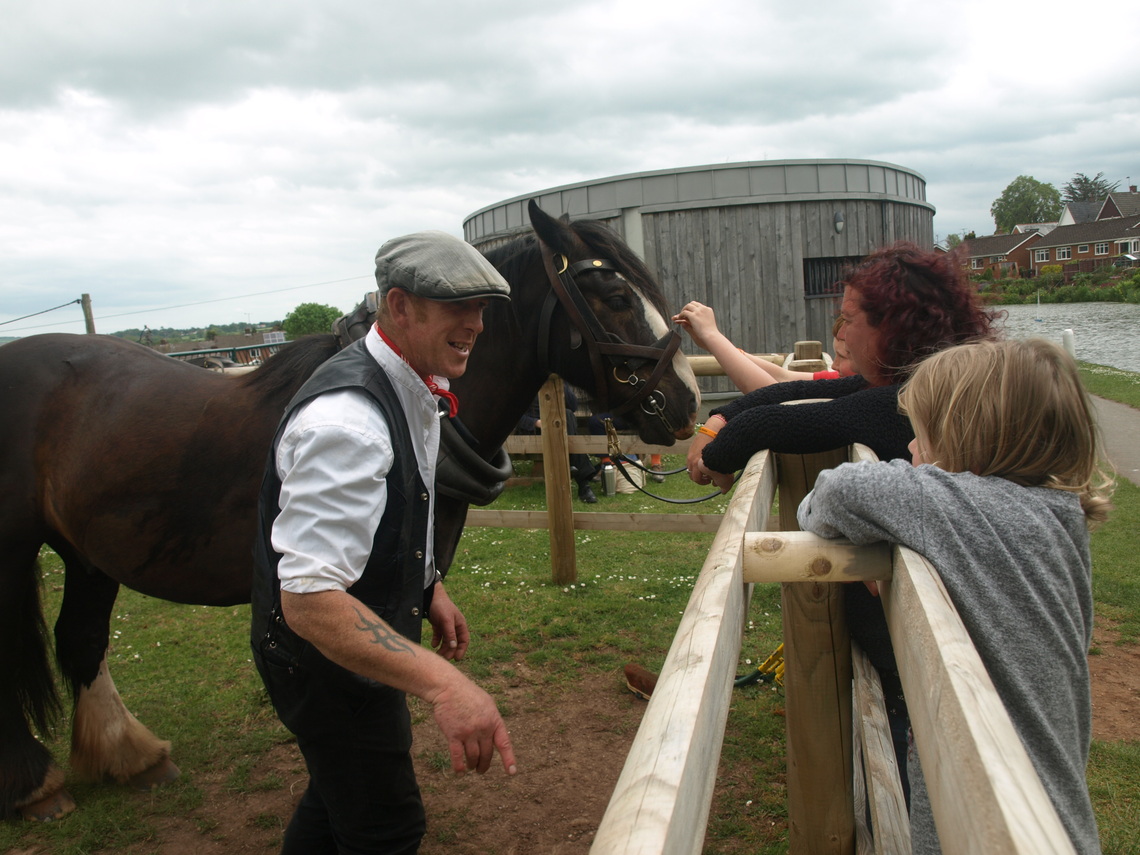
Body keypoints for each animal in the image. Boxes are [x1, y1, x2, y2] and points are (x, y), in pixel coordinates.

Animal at [0, 199, 700, 820]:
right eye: (616, 297)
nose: (686, 401)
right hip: (15, 548)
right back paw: (35, 786)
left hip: (88, 554)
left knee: (81, 641)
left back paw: (130, 755)